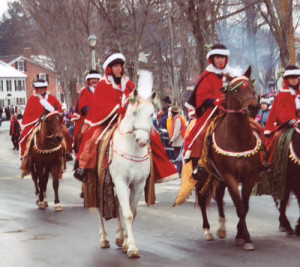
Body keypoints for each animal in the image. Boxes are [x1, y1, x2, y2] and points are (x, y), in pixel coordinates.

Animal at [98, 71, 155, 260]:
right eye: (134, 112)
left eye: (152, 114)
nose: (143, 140)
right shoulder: (120, 181)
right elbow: (128, 214)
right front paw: (132, 248)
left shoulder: (138, 184)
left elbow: (132, 212)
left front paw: (125, 242)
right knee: (100, 207)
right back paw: (104, 238)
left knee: (116, 206)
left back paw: (118, 236)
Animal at [196, 67, 262, 251]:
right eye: (237, 90)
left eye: (252, 87)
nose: (254, 107)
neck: (238, 139)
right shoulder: (230, 176)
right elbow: (240, 207)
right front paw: (246, 238)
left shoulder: (249, 177)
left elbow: (244, 206)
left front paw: (241, 235)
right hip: (203, 175)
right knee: (202, 198)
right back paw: (207, 231)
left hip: (219, 178)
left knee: (218, 197)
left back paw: (221, 228)